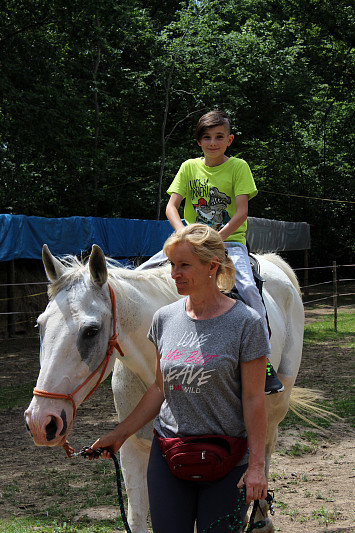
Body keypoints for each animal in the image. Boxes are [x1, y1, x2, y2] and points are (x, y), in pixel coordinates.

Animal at [25, 244, 304, 532]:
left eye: (91, 331)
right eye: (39, 325)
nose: (40, 421)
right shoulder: (131, 446)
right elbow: (136, 517)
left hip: (274, 407)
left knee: (266, 449)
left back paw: (260, 518)